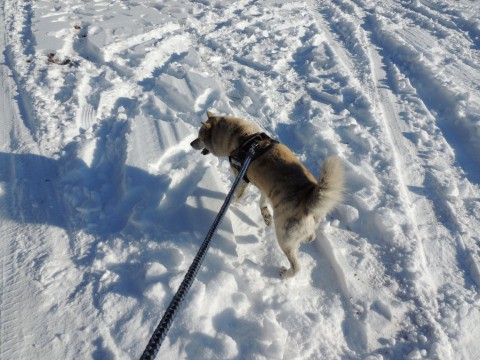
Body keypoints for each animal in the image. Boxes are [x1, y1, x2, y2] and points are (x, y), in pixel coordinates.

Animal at [189, 112, 344, 278]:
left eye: (199, 137)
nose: (191, 143)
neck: (243, 138)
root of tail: (309, 199)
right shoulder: (265, 188)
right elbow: (262, 201)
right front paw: (265, 214)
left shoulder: (241, 178)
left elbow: (236, 196)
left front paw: (231, 205)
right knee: (311, 236)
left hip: (284, 237)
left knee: (297, 266)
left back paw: (285, 273)